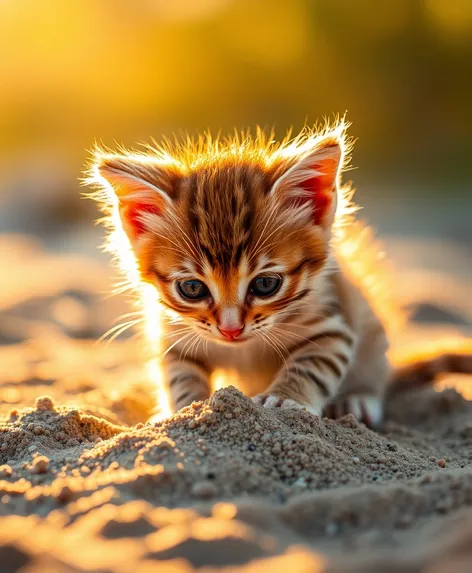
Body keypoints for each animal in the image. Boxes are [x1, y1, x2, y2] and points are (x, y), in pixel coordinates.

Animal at [87, 123, 472, 424]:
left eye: (265, 284)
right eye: (192, 289)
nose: (230, 330)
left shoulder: (333, 325)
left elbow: (312, 366)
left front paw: (285, 397)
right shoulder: (175, 335)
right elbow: (179, 375)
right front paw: (187, 410)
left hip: (373, 333)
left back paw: (359, 397)